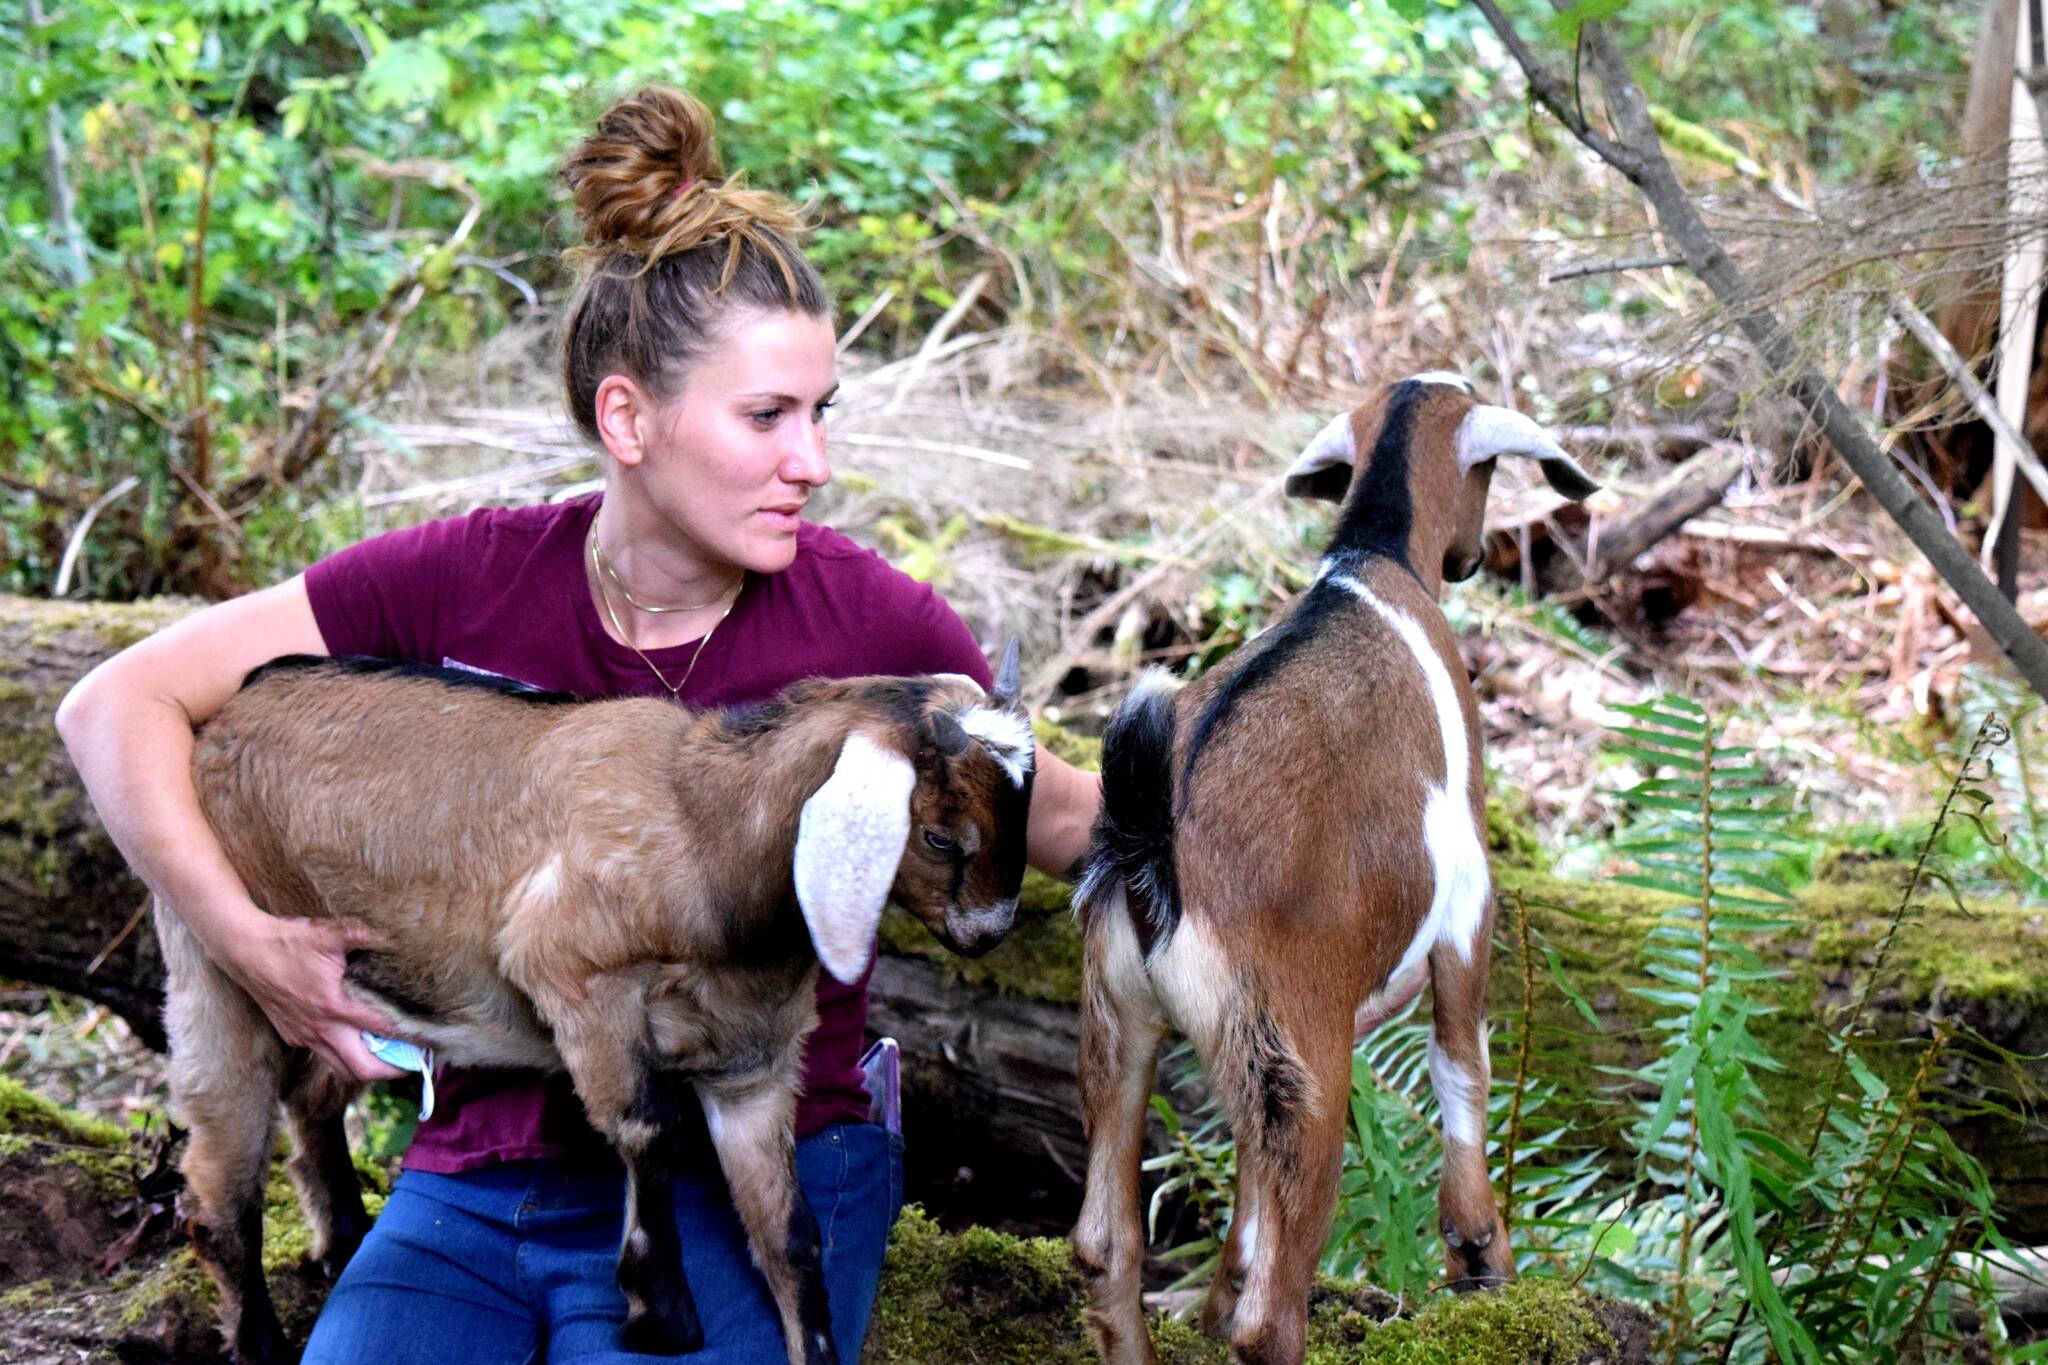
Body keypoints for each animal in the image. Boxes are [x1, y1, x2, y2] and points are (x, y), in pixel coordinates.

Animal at [159, 652, 1036, 1365]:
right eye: (941, 837)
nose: (990, 931)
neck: (700, 829)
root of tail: (228, 713)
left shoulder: (752, 1060)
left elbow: (790, 1233)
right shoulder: (572, 974)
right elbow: (651, 1126)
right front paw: (662, 1311)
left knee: (312, 1097)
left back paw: (340, 1242)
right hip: (217, 962)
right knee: (215, 1192)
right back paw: (261, 1337)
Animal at [1069, 375, 1599, 1365]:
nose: (1471, 558)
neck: (1374, 555)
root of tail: (1155, 845)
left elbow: (1242, 1207)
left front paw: (1213, 1292)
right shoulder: (1468, 899)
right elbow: (1461, 1063)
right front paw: (1481, 1252)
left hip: (1130, 1023)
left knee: (1105, 1244)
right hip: (1305, 1064)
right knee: (1271, 1315)